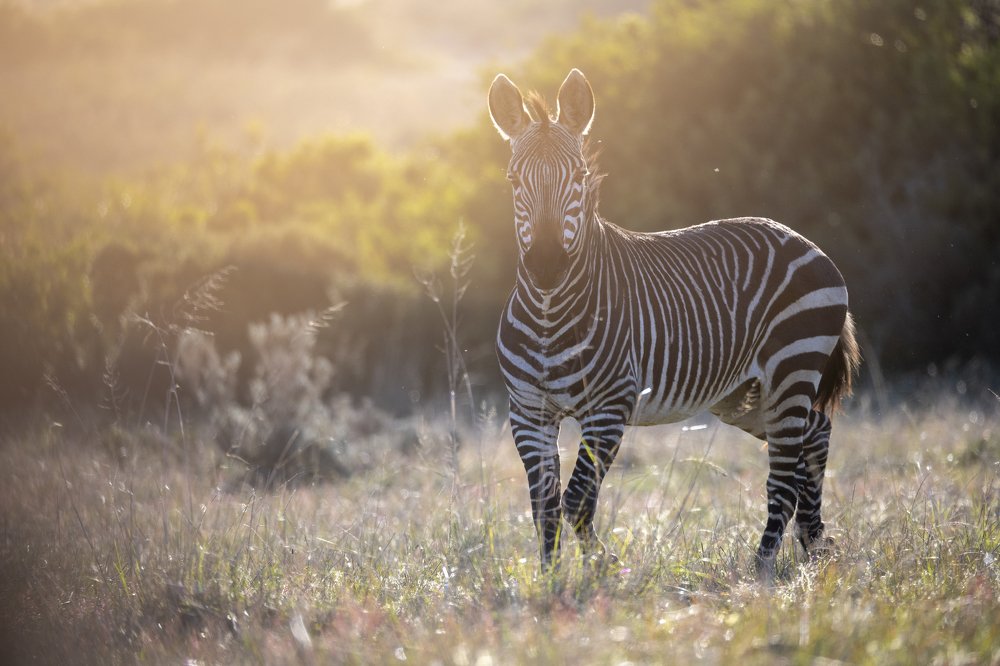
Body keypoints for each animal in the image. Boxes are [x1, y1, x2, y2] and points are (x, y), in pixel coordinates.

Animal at [488, 68, 860, 579]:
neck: (549, 311)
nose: (546, 267)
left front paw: (605, 568)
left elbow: (577, 500)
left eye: (579, 177)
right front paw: (549, 582)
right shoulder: (528, 411)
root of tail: (804, 241)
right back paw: (814, 542)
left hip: (792, 365)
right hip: (745, 395)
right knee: (815, 435)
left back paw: (762, 569)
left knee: (784, 476)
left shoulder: (609, 406)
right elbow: (543, 505)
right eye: (512, 179)